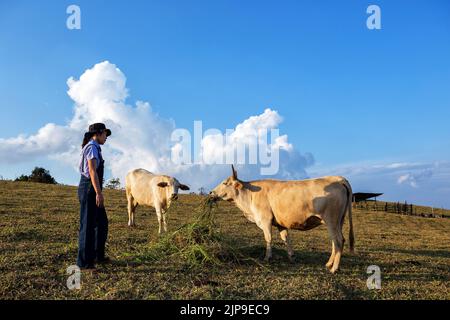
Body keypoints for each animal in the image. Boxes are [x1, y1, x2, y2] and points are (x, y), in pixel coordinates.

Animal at [211, 165, 356, 272]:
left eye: (225, 183)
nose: (211, 192)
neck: (249, 195)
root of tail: (338, 179)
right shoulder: (281, 223)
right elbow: (286, 238)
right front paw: (291, 257)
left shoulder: (265, 220)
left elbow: (268, 238)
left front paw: (267, 257)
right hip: (338, 221)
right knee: (334, 242)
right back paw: (329, 263)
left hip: (331, 220)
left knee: (339, 240)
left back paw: (334, 268)